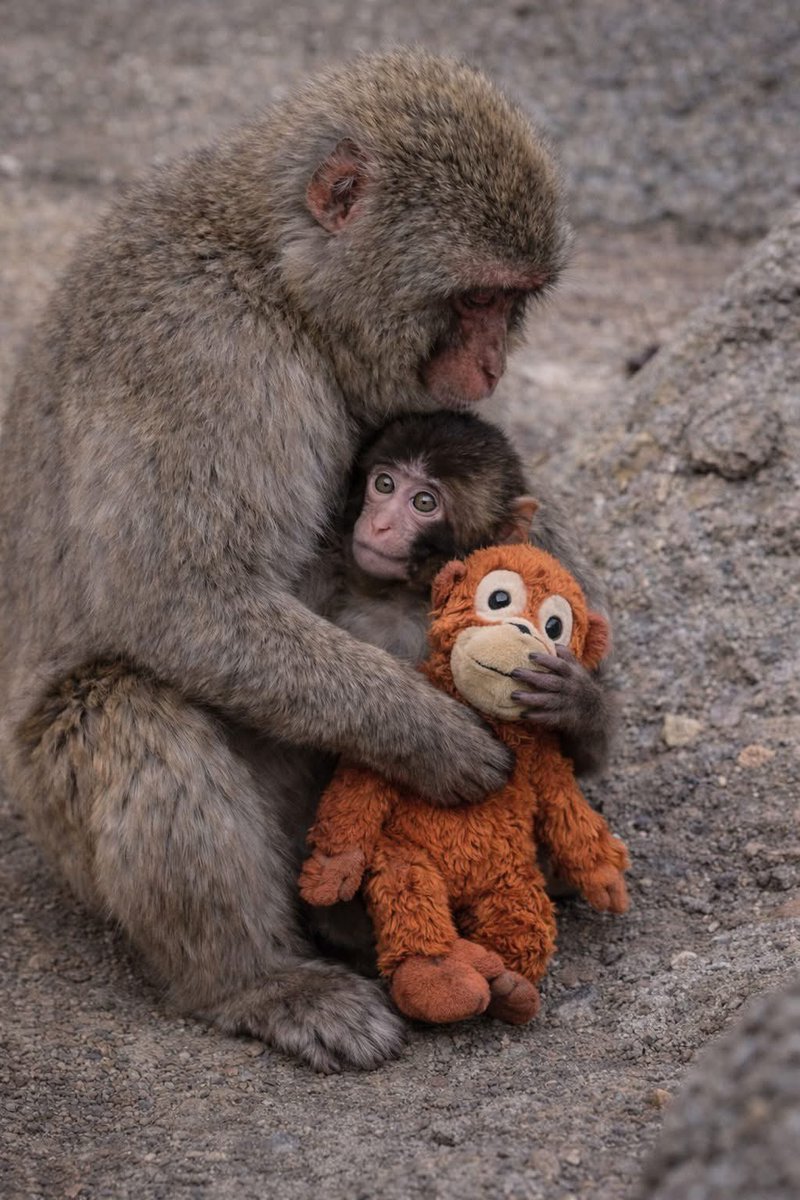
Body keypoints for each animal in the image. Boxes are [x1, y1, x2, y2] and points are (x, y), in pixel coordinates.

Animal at [0, 49, 576, 1072]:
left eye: (511, 304)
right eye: (474, 300)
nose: (492, 367)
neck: (278, 281)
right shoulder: (213, 360)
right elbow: (184, 601)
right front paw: (436, 740)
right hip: (67, 827)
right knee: (126, 707)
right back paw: (256, 980)